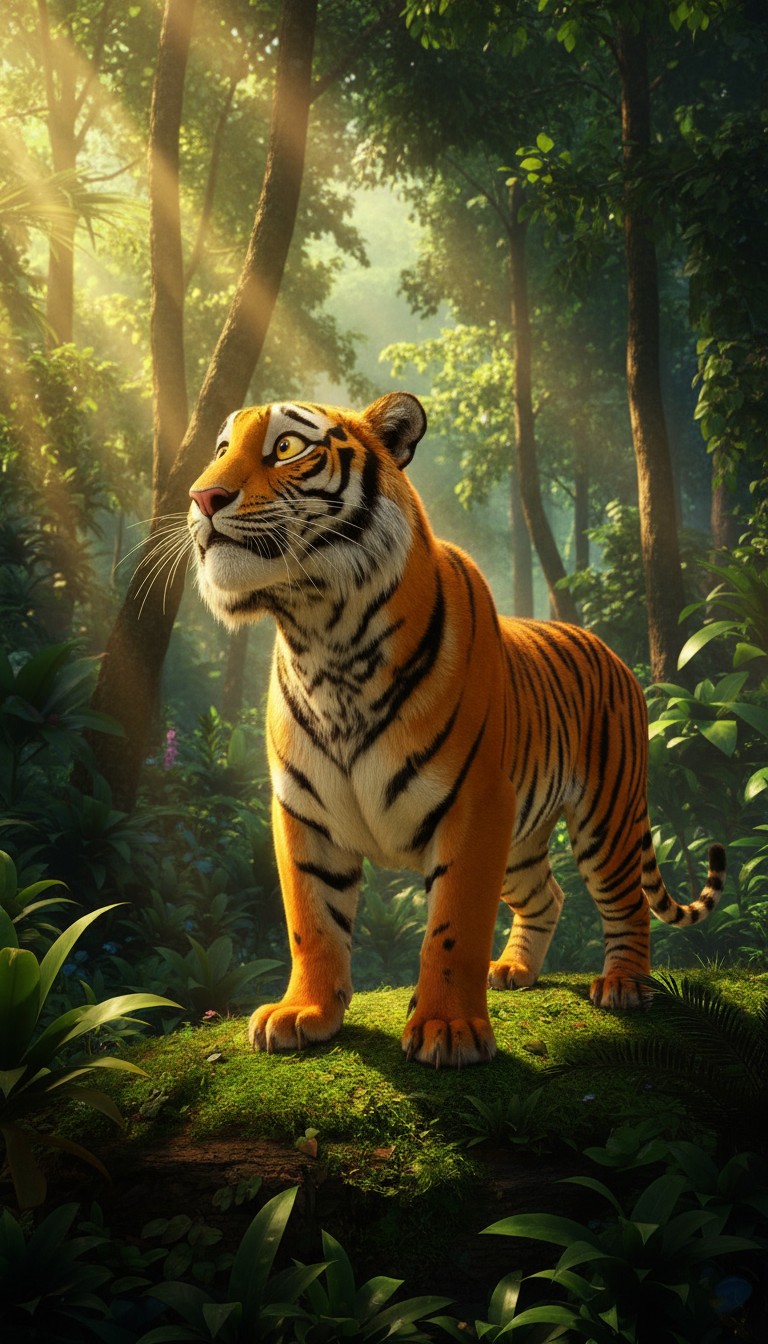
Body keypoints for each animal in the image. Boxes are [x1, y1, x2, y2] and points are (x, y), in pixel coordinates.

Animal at [187, 392, 725, 1067]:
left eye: (286, 447)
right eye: (220, 450)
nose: (202, 496)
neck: (325, 636)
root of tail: (609, 650)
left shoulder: (475, 807)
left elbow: (454, 928)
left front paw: (448, 1029)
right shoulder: (303, 812)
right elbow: (311, 920)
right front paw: (303, 1013)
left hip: (607, 818)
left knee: (626, 901)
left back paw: (624, 985)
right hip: (521, 840)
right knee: (548, 894)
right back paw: (514, 971)